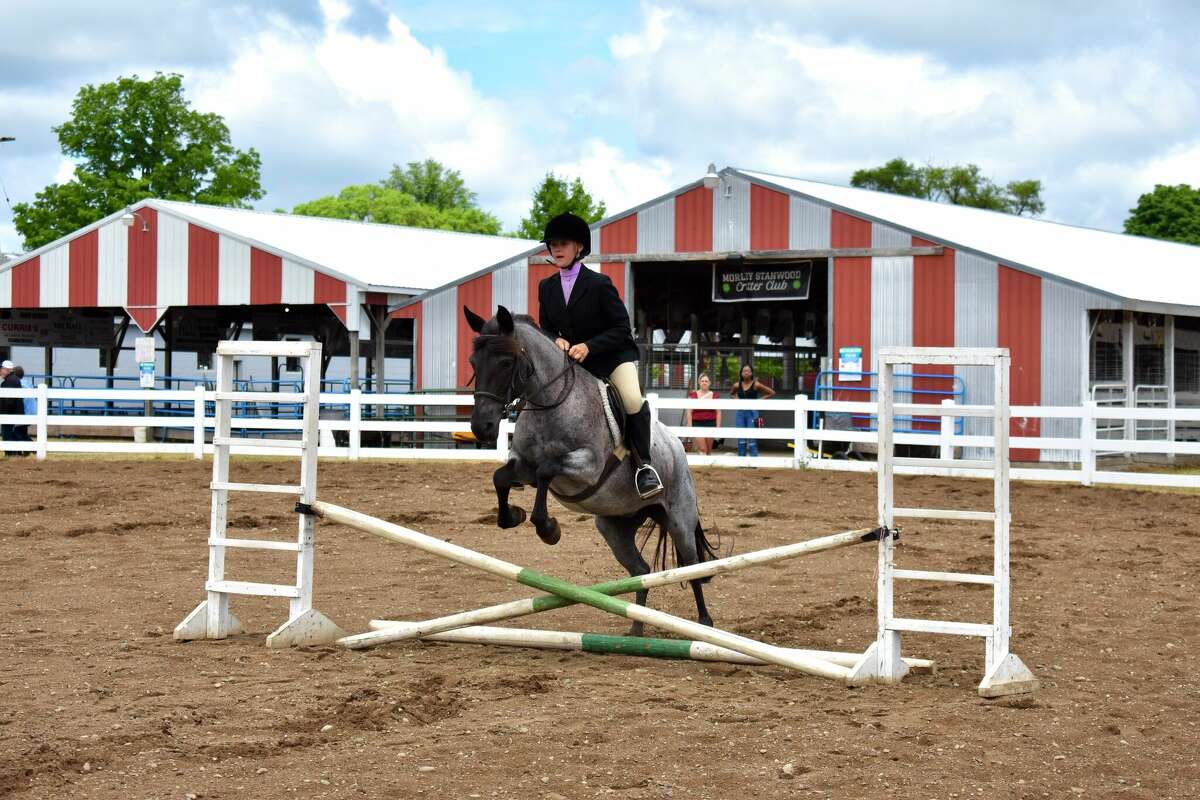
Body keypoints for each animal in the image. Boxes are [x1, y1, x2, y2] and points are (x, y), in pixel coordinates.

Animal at [463, 303, 715, 633]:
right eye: (474, 362)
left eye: (506, 362)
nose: (482, 427)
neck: (552, 402)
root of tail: (677, 447)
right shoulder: (523, 465)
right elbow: (502, 477)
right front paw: (512, 516)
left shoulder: (588, 467)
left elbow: (546, 471)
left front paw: (549, 529)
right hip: (614, 526)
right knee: (641, 570)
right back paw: (636, 631)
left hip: (679, 520)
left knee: (692, 568)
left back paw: (704, 623)